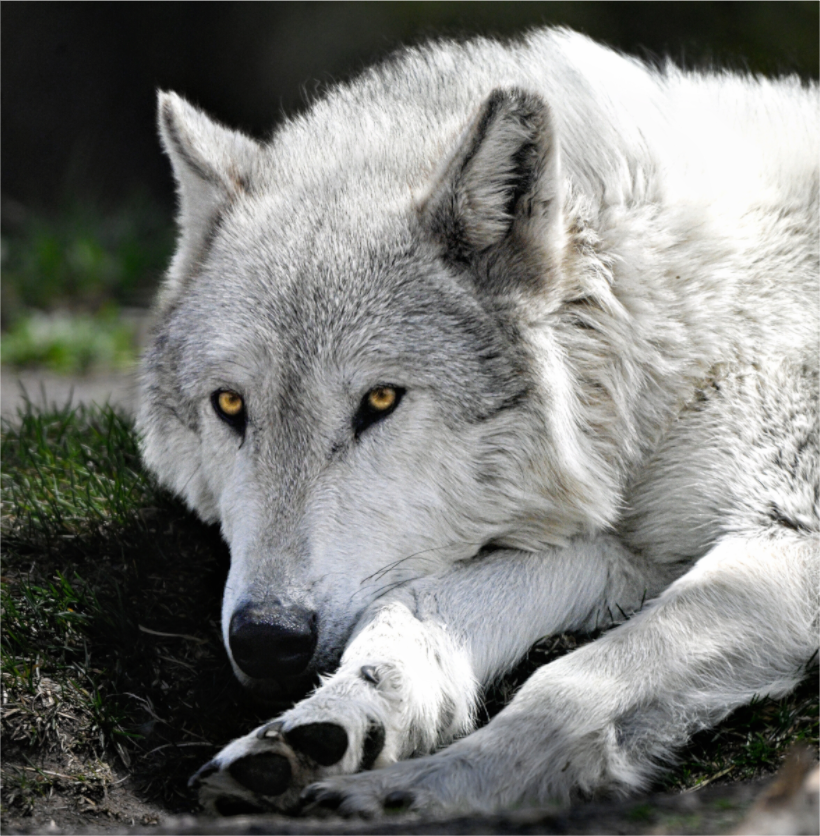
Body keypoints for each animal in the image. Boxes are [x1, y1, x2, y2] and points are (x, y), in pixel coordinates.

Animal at [137, 27, 820, 816]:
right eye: (230, 406)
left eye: (380, 401)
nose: (265, 638)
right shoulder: (628, 551)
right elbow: (412, 605)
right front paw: (337, 719)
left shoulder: (789, 535)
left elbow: (571, 681)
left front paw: (418, 792)